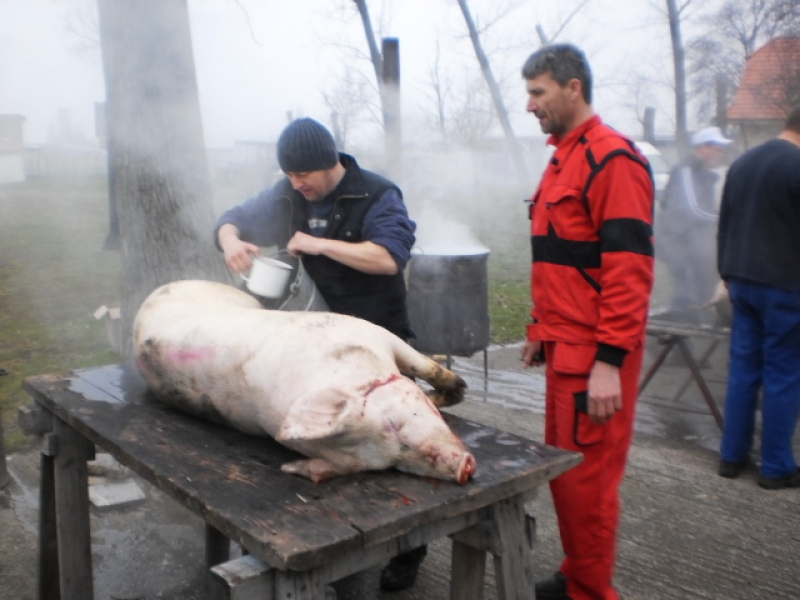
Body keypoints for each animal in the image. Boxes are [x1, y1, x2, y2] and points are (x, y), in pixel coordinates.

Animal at [134, 278, 478, 486]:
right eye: (392, 461)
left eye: (395, 423)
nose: (465, 468)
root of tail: (156, 291)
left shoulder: (370, 331)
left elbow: (423, 365)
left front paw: (451, 392)